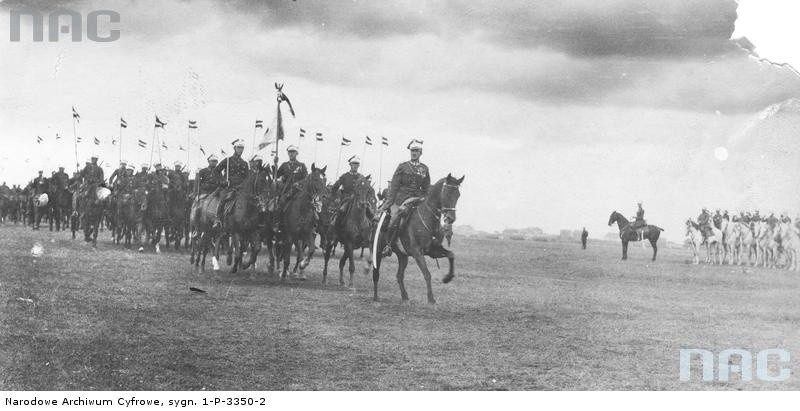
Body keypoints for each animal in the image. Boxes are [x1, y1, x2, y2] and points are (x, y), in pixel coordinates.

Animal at [374, 172, 466, 304]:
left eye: (458, 195)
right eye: (447, 193)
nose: (451, 218)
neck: (428, 219)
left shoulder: (433, 251)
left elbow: (451, 255)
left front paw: (447, 278)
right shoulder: (417, 252)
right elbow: (427, 273)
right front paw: (431, 298)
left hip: (402, 256)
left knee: (399, 275)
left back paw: (405, 296)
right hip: (377, 250)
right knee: (376, 273)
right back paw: (376, 297)